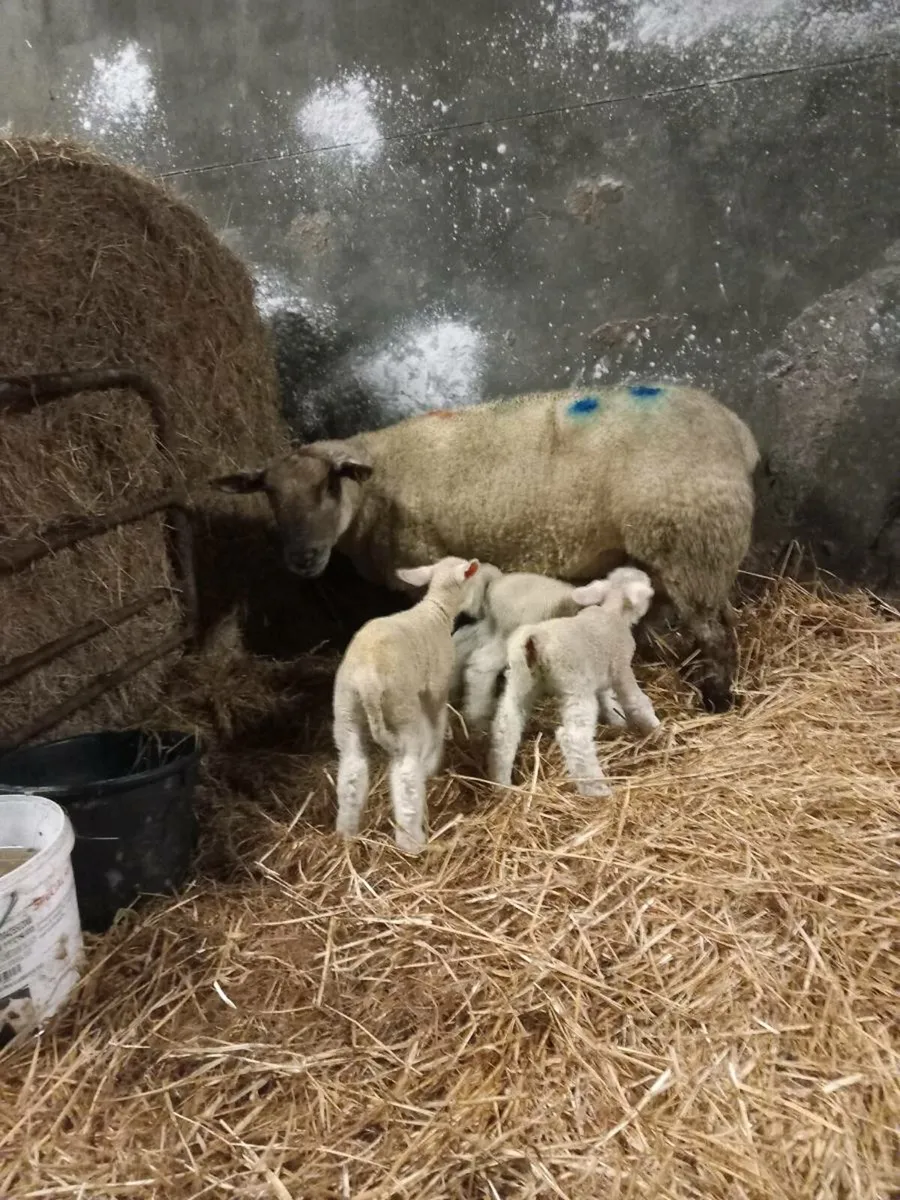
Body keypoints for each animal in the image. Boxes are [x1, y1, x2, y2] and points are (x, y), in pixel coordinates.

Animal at [213, 382, 759, 712]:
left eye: (330, 484)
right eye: (270, 495)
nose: (302, 558)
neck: (377, 483)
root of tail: (736, 431)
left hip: (692, 540)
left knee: (713, 629)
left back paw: (716, 698)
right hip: (680, 548)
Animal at [332, 555, 480, 855]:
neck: (436, 611)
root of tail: (368, 680)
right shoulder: (436, 686)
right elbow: (437, 722)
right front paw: (435, 759)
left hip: (346, 709)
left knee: (352, 770)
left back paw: (347, 833)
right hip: (400, 709)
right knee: (406, 775)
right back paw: (413, 842)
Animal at [489, 566, 660, 797]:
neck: (612, 611)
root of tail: (535, 639)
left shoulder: (601, 675)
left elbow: (608, 699)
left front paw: (618, 722)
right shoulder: (621, 668)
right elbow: (636, 702)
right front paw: (657, 730)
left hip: (520, 680)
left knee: (505, 727)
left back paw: (501, 783)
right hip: (575, 686)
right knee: (574, 738)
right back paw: (597, 789)